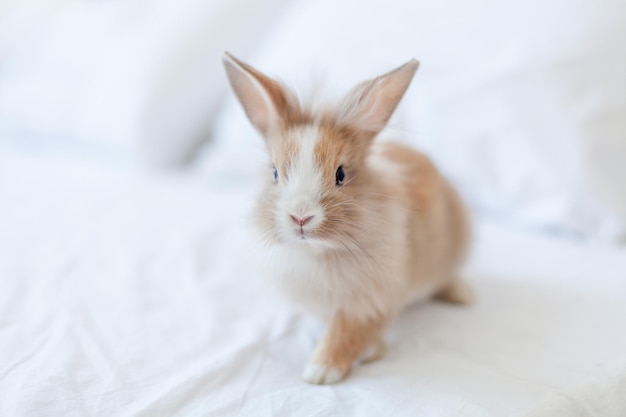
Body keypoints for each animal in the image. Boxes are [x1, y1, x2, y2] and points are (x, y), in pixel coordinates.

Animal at [222, 52, 470, 384]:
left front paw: (320, 371)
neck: (317, 252)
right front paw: (371, 352)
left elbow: (346, 334)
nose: (301, 217)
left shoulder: (367, 303)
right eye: (274, 173)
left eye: (340, 174)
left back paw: (464, 296)